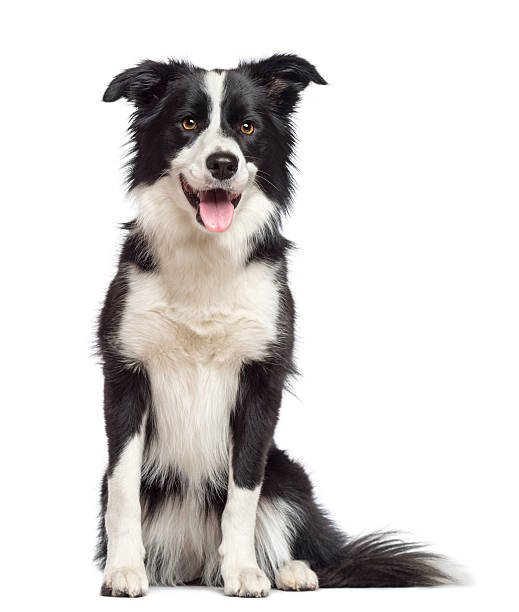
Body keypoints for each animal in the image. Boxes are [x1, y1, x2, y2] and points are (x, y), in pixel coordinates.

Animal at [95, 55, 452, 596]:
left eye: (247, 128)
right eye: (188, 122)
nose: (224, 163)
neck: (206, 257)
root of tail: (197, 563)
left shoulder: (262, 380)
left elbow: (243, 490)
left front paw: (244, 571)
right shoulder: (125, 374)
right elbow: (123, 488)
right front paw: (124, 570)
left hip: (289, 475)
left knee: (297, 535)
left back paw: (292, 570)